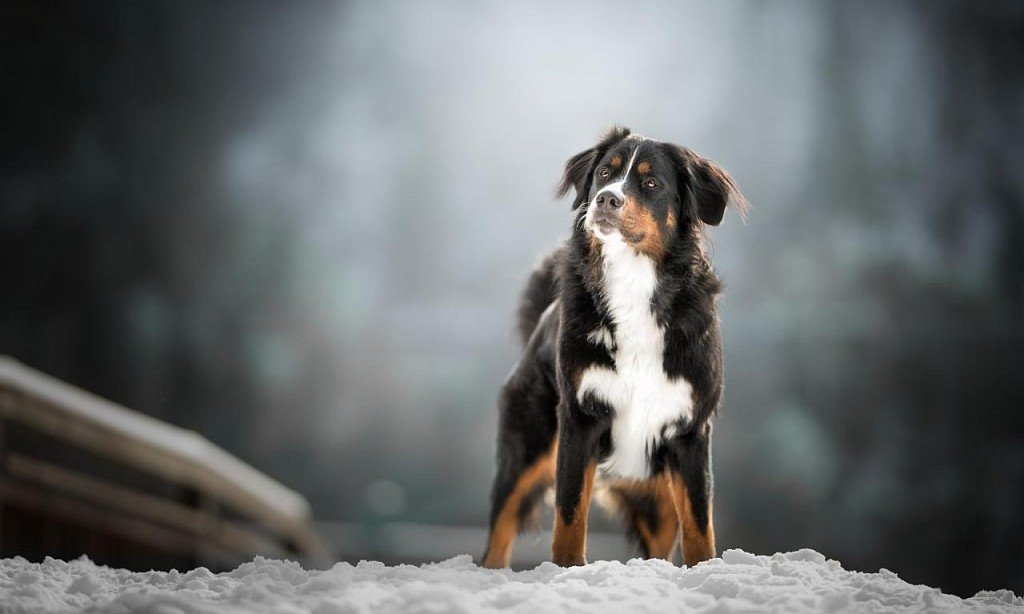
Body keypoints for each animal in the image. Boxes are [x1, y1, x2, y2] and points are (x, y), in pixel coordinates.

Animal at [479, 125, 745, 568]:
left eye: (651, 183)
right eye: (605, 173)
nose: (606, 198)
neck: (633, 281)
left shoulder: (691, 430)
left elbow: (699, 525)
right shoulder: (580, 418)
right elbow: (570, 514)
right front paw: (568, 568)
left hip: (656, 497)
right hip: (526, 448)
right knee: (498, 534)